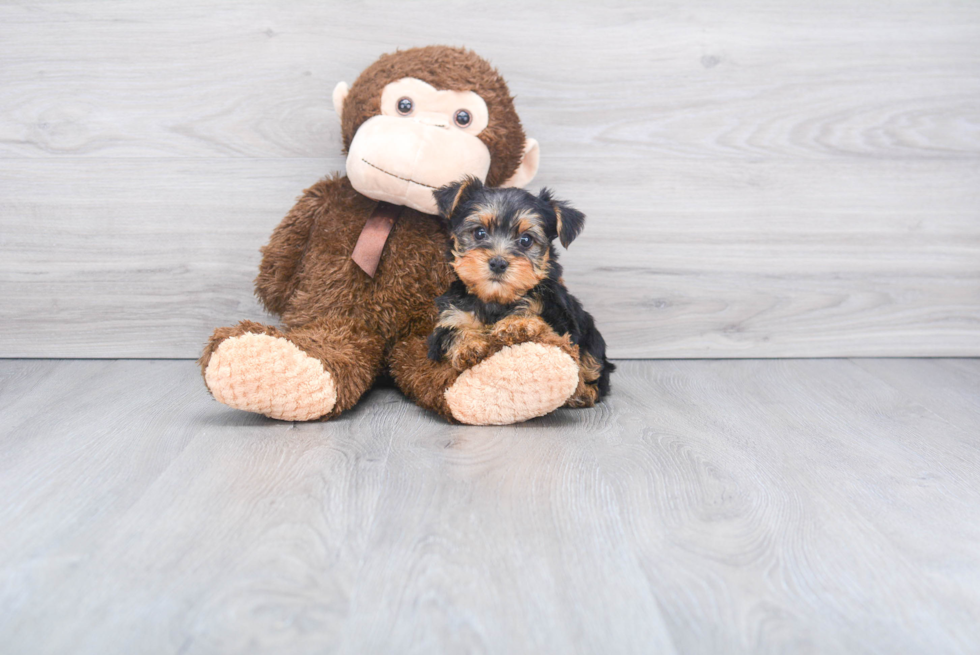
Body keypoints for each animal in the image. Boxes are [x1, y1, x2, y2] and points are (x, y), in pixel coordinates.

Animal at [426, 177, 612, 408]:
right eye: (479, 232)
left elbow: (545, 325)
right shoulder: (448, 320)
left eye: (526, 240)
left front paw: (516, 324)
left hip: (592, 341)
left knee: (596, 371)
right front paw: (469, 346)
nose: (498, 262)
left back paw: (584, 393)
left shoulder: (561, 318)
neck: (496, 299)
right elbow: (451, 333)